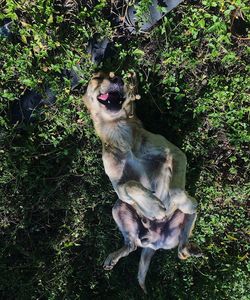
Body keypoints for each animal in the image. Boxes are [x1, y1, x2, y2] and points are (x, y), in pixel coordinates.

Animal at [83, 71, 200, 292]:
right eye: (98, 77)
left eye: (114, 75)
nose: (118, 79)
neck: (118, 130)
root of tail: (153, 243)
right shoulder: (118, 186)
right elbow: (130, 185)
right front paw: (153, 206)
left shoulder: (175, 154)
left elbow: (176, 189)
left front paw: (169, 200)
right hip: (118, 207)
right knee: (132, 244)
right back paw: (113, 257)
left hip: (184, 219)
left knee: (185, 230)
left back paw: (187, 248)